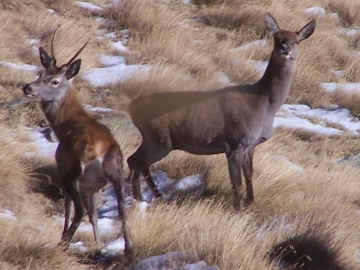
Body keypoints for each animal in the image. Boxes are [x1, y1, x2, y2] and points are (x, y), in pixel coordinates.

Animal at [21, 29, 131, 255]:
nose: (27, 87)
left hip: (73, 171)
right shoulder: (93, 186)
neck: (66, 126)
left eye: (55, 81)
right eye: (40, 73)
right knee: (122, 209)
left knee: (78, 209)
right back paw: (128, 250)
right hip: (117, 173)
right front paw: (99, 245)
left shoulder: (63, 170)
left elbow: (69, 208)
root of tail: (97, 151)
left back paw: (61, 244)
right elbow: (95, 214)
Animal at [126, 12, 316, 210]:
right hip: (159, 140)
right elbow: (236, 182)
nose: (285, 48)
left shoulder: (250, 145)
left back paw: (150, 198)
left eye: (298, 40)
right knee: (137, 161)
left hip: (151, 139)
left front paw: (251, 202)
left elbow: (249, 174)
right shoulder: (234, 143)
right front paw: (238, 209)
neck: (263, 104)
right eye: (276, 37)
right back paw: (141, 200)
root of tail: (131, 107)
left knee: (134, 160)